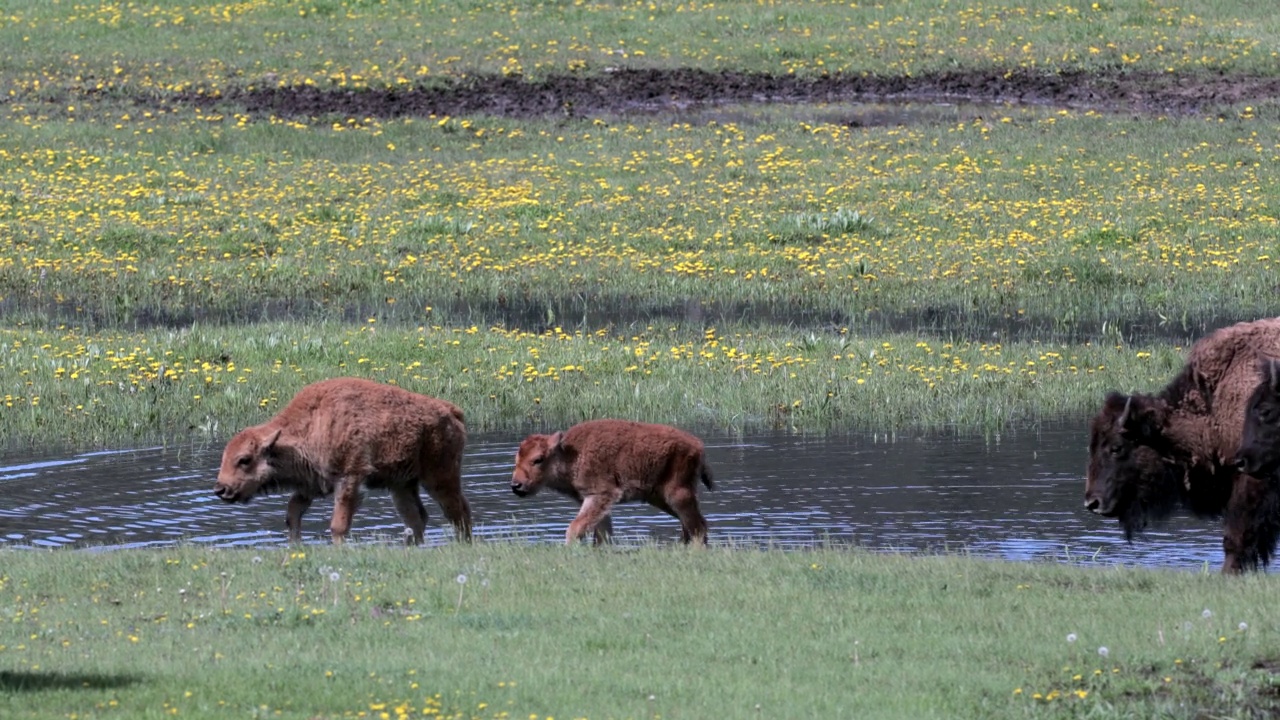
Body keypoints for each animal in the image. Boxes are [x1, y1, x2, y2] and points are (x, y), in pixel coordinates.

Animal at [215, 379, 476, 540]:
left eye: (244, 459)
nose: (221, 489)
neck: (312, 423)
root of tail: (451, 411)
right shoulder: (311, 485)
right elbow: (292, 514)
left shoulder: (349, 479)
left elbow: (338, 524)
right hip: (402, 485)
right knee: (416, 518)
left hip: (439, 477)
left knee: (458, 512)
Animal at [506, 415, 711, 543]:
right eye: (516, 460)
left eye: (538, 459)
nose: (516, 485)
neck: (569, 454)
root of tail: (697, 445)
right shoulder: (594, 500)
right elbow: (602, 532)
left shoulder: (601, 494)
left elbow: (576, 527)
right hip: (660, 498)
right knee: (689, 525)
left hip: (677, 493)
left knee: (698, 526)